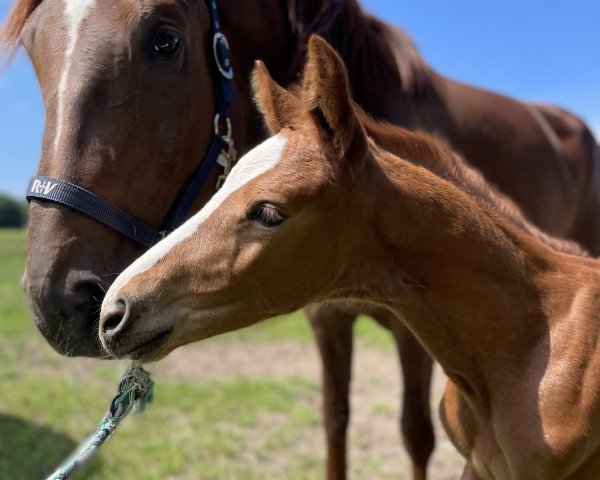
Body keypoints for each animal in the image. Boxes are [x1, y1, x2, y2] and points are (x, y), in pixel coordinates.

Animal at [2, 1, 596, 478]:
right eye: (32, 49)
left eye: (164, 41)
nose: (107, 311)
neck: (532, 338)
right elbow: (335, 420)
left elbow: (413, 435)